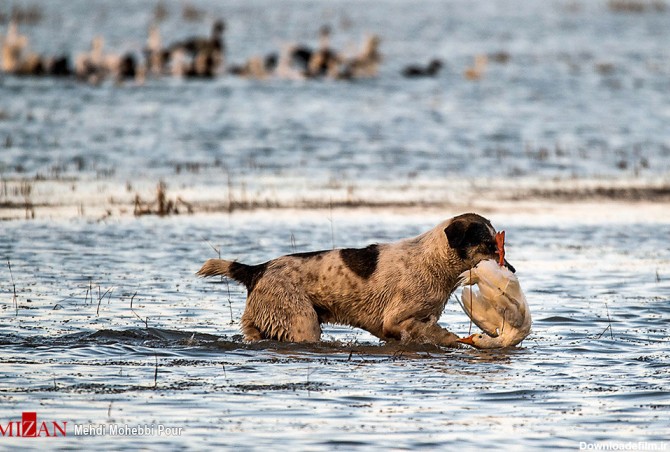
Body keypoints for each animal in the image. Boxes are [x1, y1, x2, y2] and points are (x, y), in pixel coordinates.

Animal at [196, 212, 516, 346]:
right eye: (489, 244)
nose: (511, 270)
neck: (433, 261)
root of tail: (257, 269)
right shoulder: (395, 320)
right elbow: (433, 332)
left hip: (259, 324)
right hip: (302, 324)